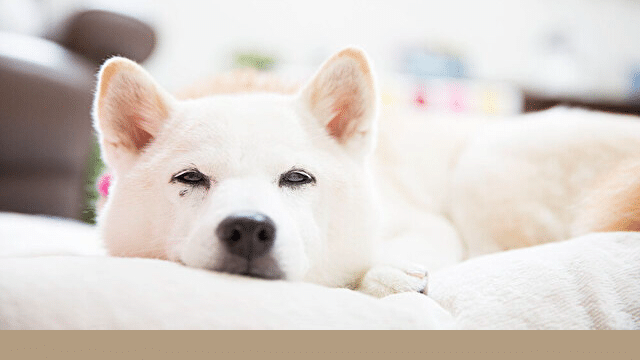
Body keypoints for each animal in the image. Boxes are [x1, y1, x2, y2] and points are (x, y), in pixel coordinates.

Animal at [94, 46, 640, 296]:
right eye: (189, 178)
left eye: (297, 178)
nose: (248, 229)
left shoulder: (427, 223)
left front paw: (387, 271)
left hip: (484, 165)